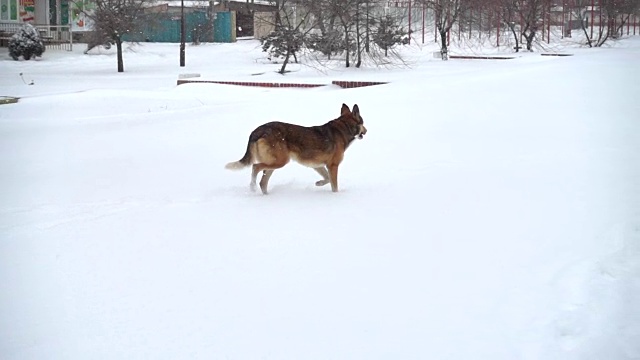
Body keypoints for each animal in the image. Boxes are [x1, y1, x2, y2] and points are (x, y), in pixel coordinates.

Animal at [226, 103, 368, 194]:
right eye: (363, 123)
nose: (366, 131)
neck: (344, 127)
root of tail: (257, 131)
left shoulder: (318, 166)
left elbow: (327, 178)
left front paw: (318, 183)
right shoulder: (333, 166)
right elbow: (334, 185)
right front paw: (335, 196)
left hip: (274, 163)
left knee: (263, 181)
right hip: (280, 161)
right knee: (255, 168)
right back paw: (252, 187)